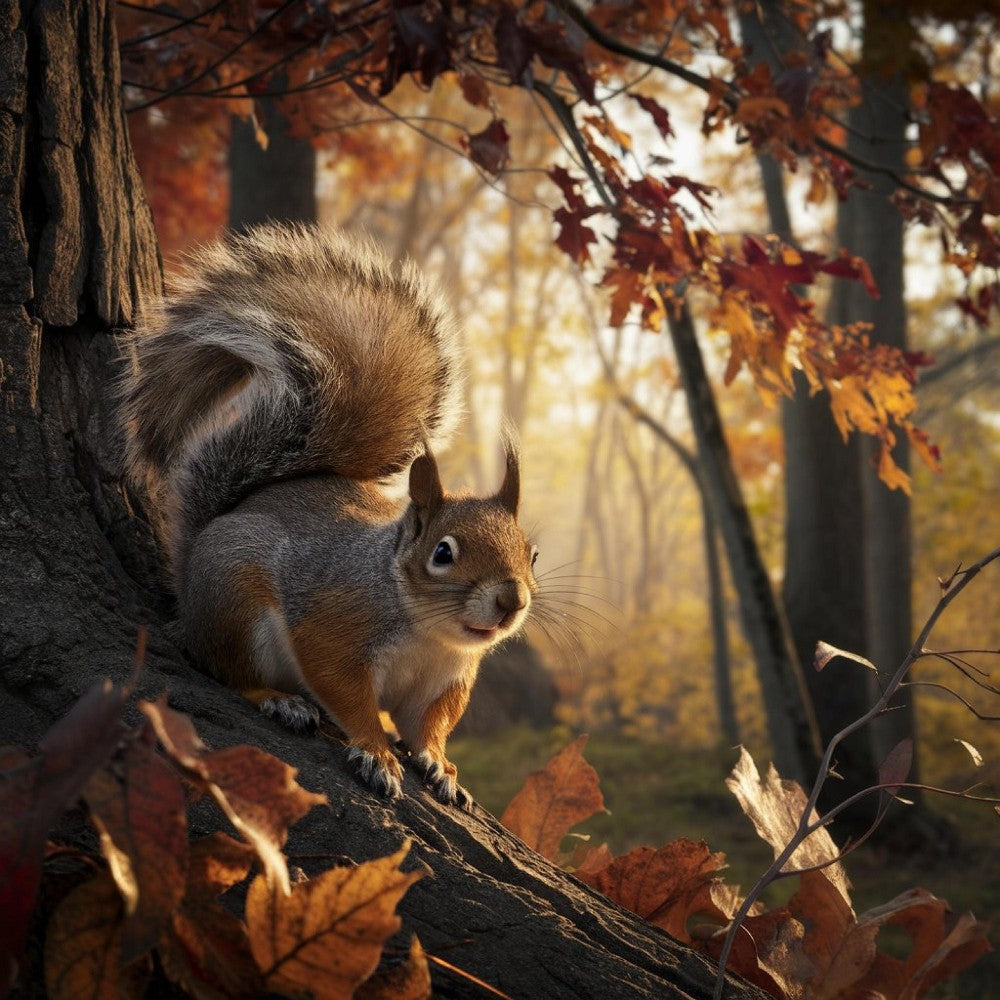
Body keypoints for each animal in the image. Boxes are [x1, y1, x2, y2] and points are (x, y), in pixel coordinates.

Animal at [123, 224, 537, 806]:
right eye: (443, 552)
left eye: (532, 553)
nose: (510, 601)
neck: (428, 631)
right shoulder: (333, 623)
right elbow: (345, 691)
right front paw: (375, 752)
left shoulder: (445, 681)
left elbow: (429, 725)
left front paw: (438, 763)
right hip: (235, 601)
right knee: (227, 668)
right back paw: (279, 699)